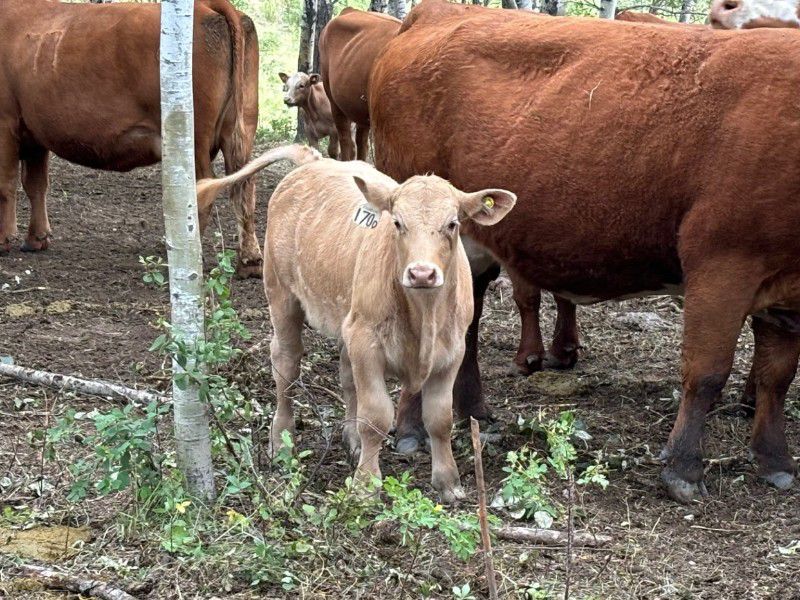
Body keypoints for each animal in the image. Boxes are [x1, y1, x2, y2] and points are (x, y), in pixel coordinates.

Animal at [0, 0, 262, 277]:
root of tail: (207, 7)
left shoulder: (5, 123)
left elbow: (6, 184)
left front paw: (4, 240)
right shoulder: (33, 133)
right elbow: (36, 185)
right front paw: (36, 239)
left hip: (193, 140)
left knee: (203, 189)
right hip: (241, 130)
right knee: (244, 186)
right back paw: (250, 261)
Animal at [258, 152, 515, 503]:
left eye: (452, 224)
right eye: (397, 223)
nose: (422, 273)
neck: (424, 316)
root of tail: (314, 161)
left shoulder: (451, 352)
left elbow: (440, 418)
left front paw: (448, 481)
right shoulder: (367, 345)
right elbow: (376, 416)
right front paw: (365, 484)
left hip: (347, 320)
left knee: (346, 376)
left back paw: (351, 439)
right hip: (281, 293)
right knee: (286, 364)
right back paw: (280, 440)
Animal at [371, 0, 800, 502]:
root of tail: (433, 12)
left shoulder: (787, 292)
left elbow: (776, 377)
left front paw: (774, 460)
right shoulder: (723, 262)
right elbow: (708, 371)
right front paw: (684, 469)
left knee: (467, 326)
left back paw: (473, 409)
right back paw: (410, 429)